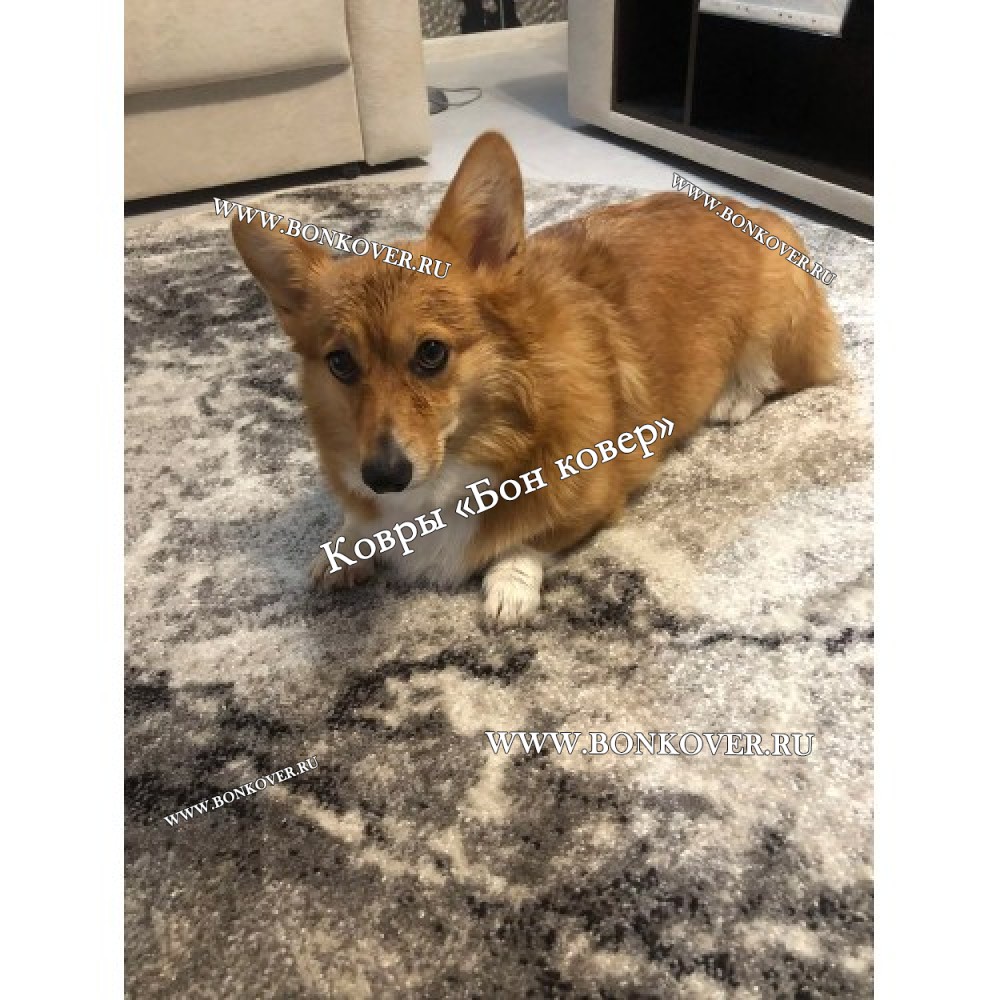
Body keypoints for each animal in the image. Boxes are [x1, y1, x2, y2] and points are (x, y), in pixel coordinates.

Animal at [231, 131, 841, 625]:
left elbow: (527, 540)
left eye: (431, 353)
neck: (461, 458)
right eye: (340, 363)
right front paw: (343, 547)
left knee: (771, 374)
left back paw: (734, 398)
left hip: (775, 322)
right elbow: (354, 519)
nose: (384, 475)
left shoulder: (595, 499)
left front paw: (509, 589)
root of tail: (750, 208)